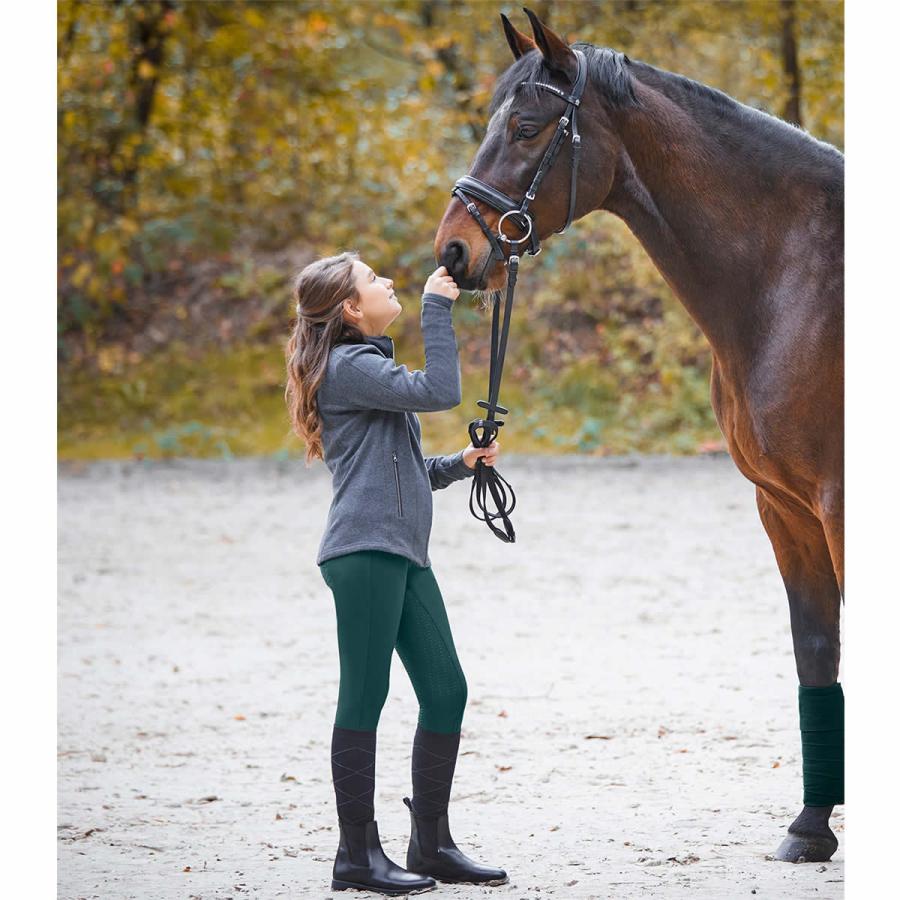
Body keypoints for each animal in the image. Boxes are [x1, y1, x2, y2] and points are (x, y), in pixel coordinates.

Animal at [434, 9, 844, 864]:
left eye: (527, 126)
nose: (454, 249)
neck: (803, 279)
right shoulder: (787, 510)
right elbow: (815, 650)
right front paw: (810, 828)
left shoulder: (841, 503)